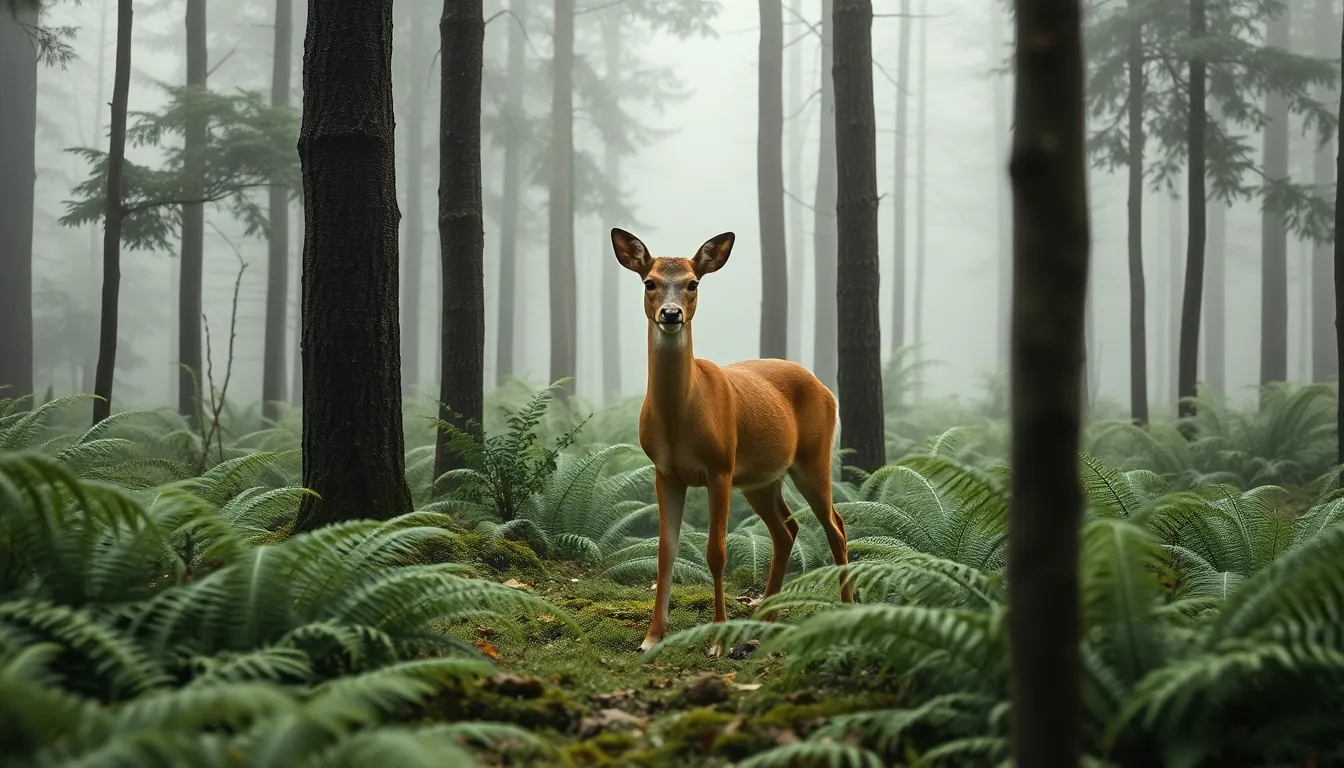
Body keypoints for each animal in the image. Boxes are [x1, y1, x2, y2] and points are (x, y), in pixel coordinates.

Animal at [610, 228, 853, 658]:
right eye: (649, 282)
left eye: (693, 283)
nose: (670, 314)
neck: (679, 419)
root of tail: (827, 389)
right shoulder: (664, 471)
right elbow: (665, 550)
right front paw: (652, 637)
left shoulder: (719, 467)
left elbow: (716, 552)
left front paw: (718, 640)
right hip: (761, 478)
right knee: (786, 529)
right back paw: (765, 618)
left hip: (813, 458)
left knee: (836, 526)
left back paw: (846, 611)